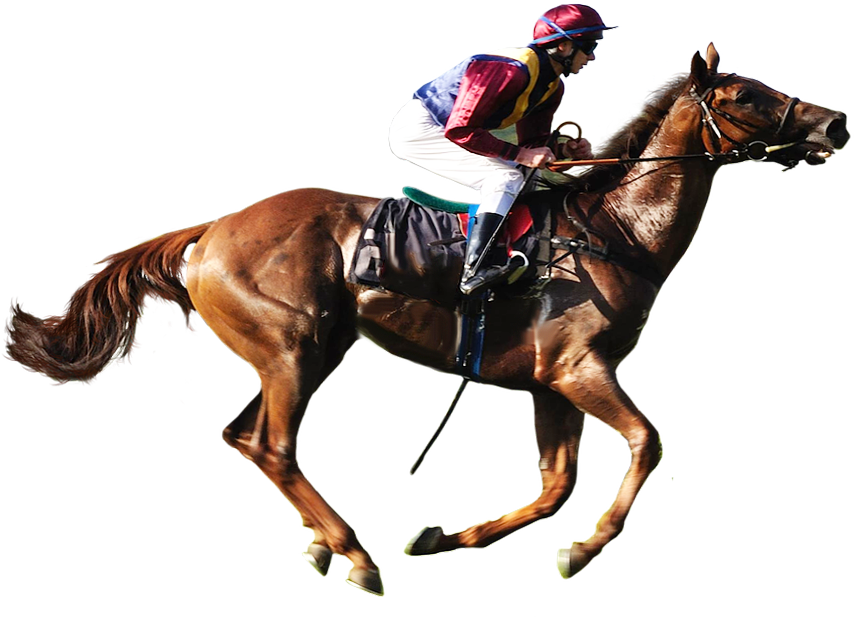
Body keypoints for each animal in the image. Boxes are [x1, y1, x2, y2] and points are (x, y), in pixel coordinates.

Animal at [5, 42, 848, 597]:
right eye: (745, 95)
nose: (835, 123)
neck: (617, 227)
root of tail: (209, 231)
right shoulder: (579, 367)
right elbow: (644, 442)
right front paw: (586, 550)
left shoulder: (549, 380)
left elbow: (555, 484)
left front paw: (447, 535)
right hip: (292, 348)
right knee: (272, 443)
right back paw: (355, 554)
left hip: (309, 349)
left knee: (244, 436)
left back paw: (325, 545)